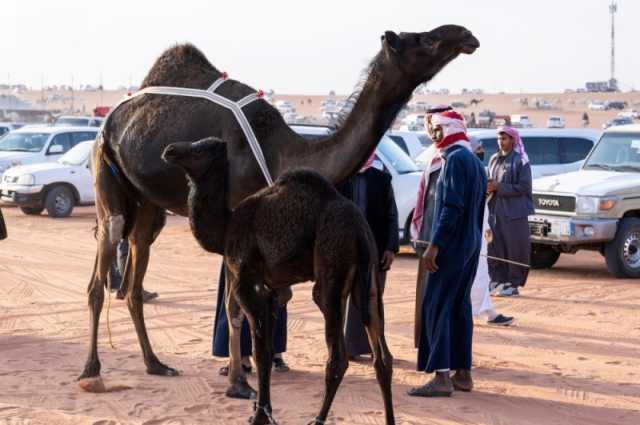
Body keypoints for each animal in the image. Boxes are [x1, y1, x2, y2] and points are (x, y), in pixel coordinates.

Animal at [80, 24, 478, 388]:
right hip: (106, 171)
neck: (284, 152)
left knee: (135, 274)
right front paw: (238, 378)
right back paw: (91, 371)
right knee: (100, 273)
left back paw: (156, 364)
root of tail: (109, 120)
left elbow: (275, 298)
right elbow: (236, 306)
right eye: (422, 39)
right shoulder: (237, 225)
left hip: (147, 205)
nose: (466, 35)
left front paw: (256, 365)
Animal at [164, 137, 396, 422]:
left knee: (338, 356)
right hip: (370, 277)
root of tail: (360, 231)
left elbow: (261, 352)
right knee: (382, 356)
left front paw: (260, 415)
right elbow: (265, 346)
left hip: (332, 268)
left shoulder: (247, 281)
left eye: (198, 149)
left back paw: (317, 419)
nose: (169, 150)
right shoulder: (272, 290)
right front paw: (260, 410)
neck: (227, 227)